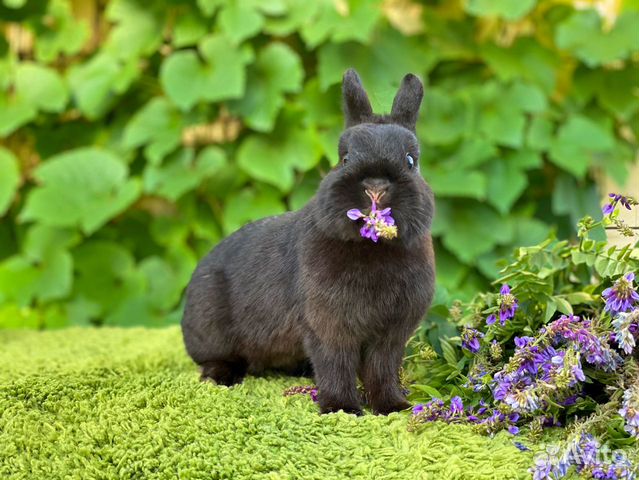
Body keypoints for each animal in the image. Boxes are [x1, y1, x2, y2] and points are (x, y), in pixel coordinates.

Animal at [182, 68, 438, 416]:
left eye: (411, 161)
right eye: (344, 159)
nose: (375, 187)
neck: (373, 250)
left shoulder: (390, 335)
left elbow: (382, 369)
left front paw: (392, 407)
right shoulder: (329, 326)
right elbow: (336, 365)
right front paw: (342, 409)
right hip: (212, 332)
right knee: (217, 359)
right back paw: (220, 377)